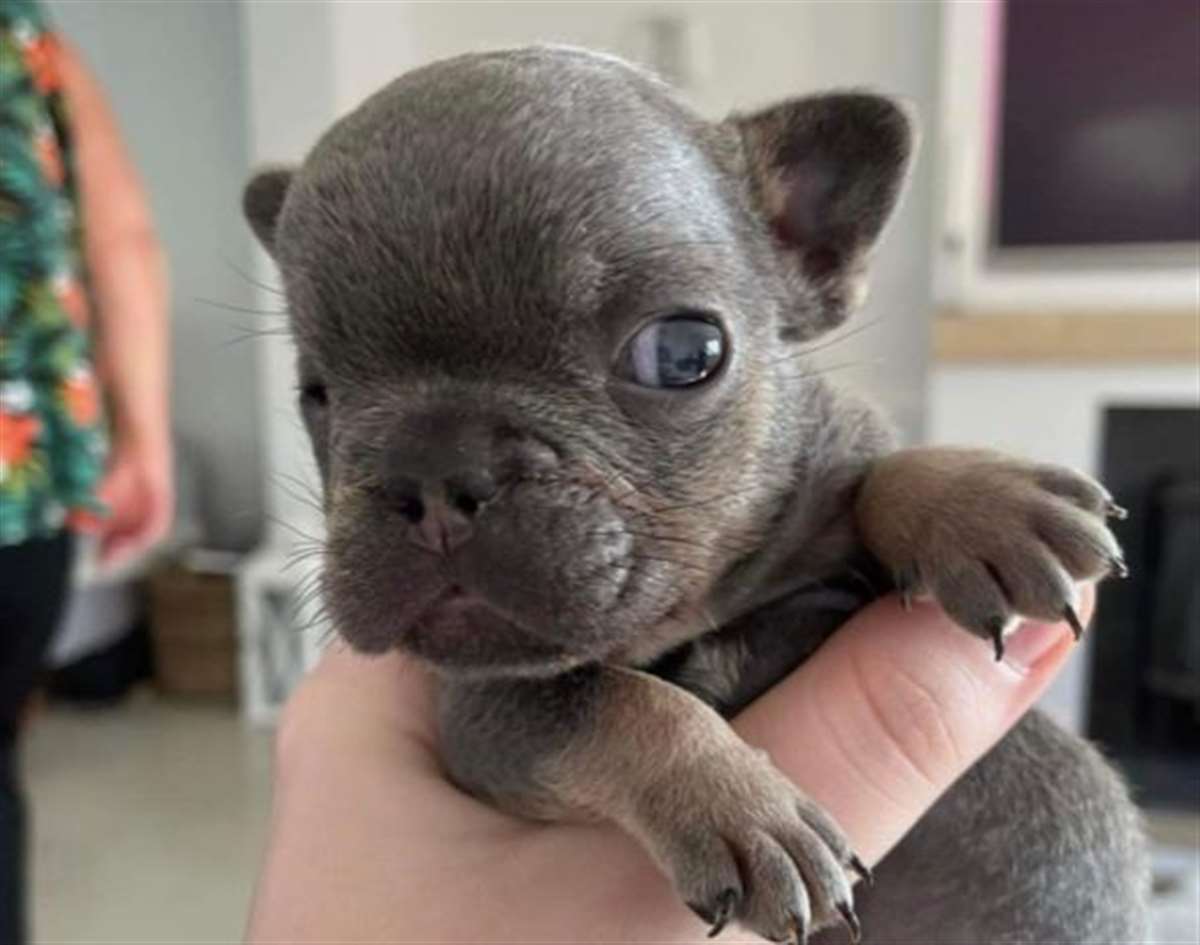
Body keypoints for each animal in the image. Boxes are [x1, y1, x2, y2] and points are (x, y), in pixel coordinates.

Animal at [238, 47, 1147, 940]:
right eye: (316, 396)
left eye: (681, 353)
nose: (432, 471)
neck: (697, 613)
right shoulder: (490, 716)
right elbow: (624, 702)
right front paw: (737, 804)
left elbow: (872, 470)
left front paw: (976, 502)